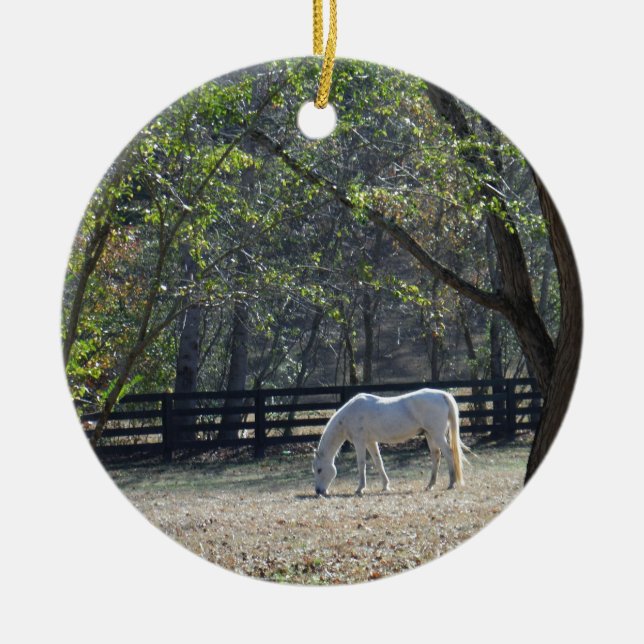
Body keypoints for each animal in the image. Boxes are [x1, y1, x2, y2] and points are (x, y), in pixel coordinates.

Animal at [312, 388, 466, 496]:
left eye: (319, 470)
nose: (318, 491)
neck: (350, 414)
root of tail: (442, 395)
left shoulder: (359, 442)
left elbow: (361, 464)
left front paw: (360, 489)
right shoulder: (370, 442)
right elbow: (378, 462)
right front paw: (385, 486)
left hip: (437, 434)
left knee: (449, 453)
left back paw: (451, 483)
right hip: (430, 434)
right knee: (436, 455)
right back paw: (430, 484)